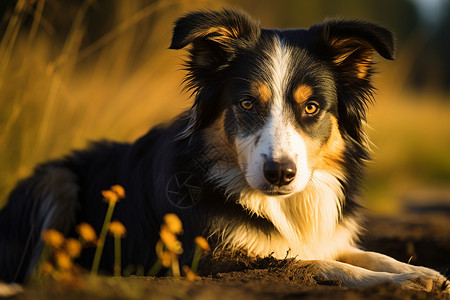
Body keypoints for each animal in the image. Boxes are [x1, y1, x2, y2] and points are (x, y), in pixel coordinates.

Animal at [0, 8, 448, 292]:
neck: (277, 203)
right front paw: (403, 282)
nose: (280, 173)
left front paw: (422, 272)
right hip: (55, 180)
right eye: (247, 103)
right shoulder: (207, 258)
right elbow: (316, 262)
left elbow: (366, 254)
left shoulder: (325, 237)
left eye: (312, 108)